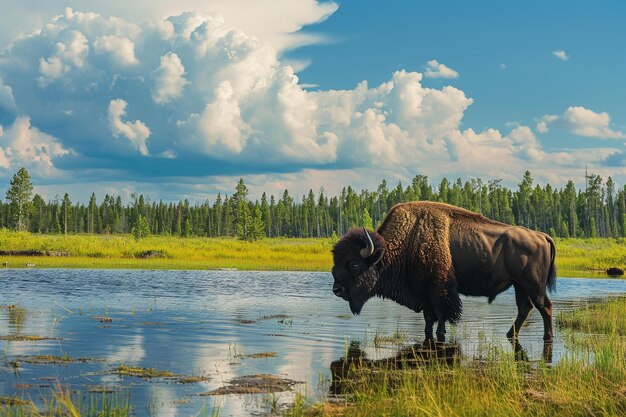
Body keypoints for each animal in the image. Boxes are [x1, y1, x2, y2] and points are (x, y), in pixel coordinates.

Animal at [330, 201, 552, 342]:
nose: (336, 290)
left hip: (533, 284)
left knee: (544, 307)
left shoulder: (439, 290)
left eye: (354, 264)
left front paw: (441, 334)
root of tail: (541, 235)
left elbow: (442, 315)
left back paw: (547, 336)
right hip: (519, 285)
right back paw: (509, 334)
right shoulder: (424, 293)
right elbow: (429, 318)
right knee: (525, 308)